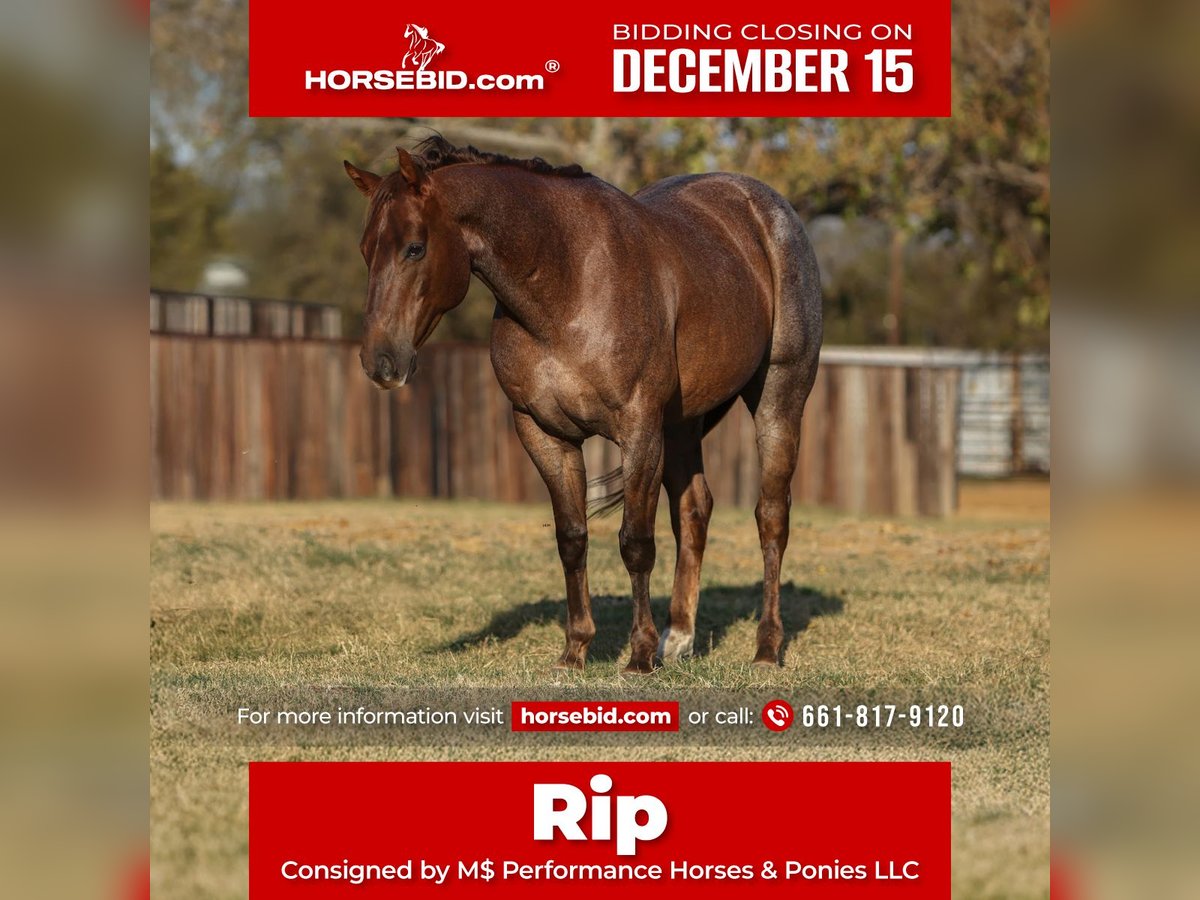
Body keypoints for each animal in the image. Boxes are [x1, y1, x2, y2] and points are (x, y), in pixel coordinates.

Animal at [344, 137, 823, 673]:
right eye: (365, 250)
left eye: (415, 247)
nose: (381, 362)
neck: (567, 283)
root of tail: (765, 206)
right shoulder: (544, 433)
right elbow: (572, 538)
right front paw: (575, 650)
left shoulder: (639, 430)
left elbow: (635, 542)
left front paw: (638, 655)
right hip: (682, 423)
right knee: (694, 509)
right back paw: (678, 639)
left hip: (778, 398)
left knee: (771, 517)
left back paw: (765, 648)